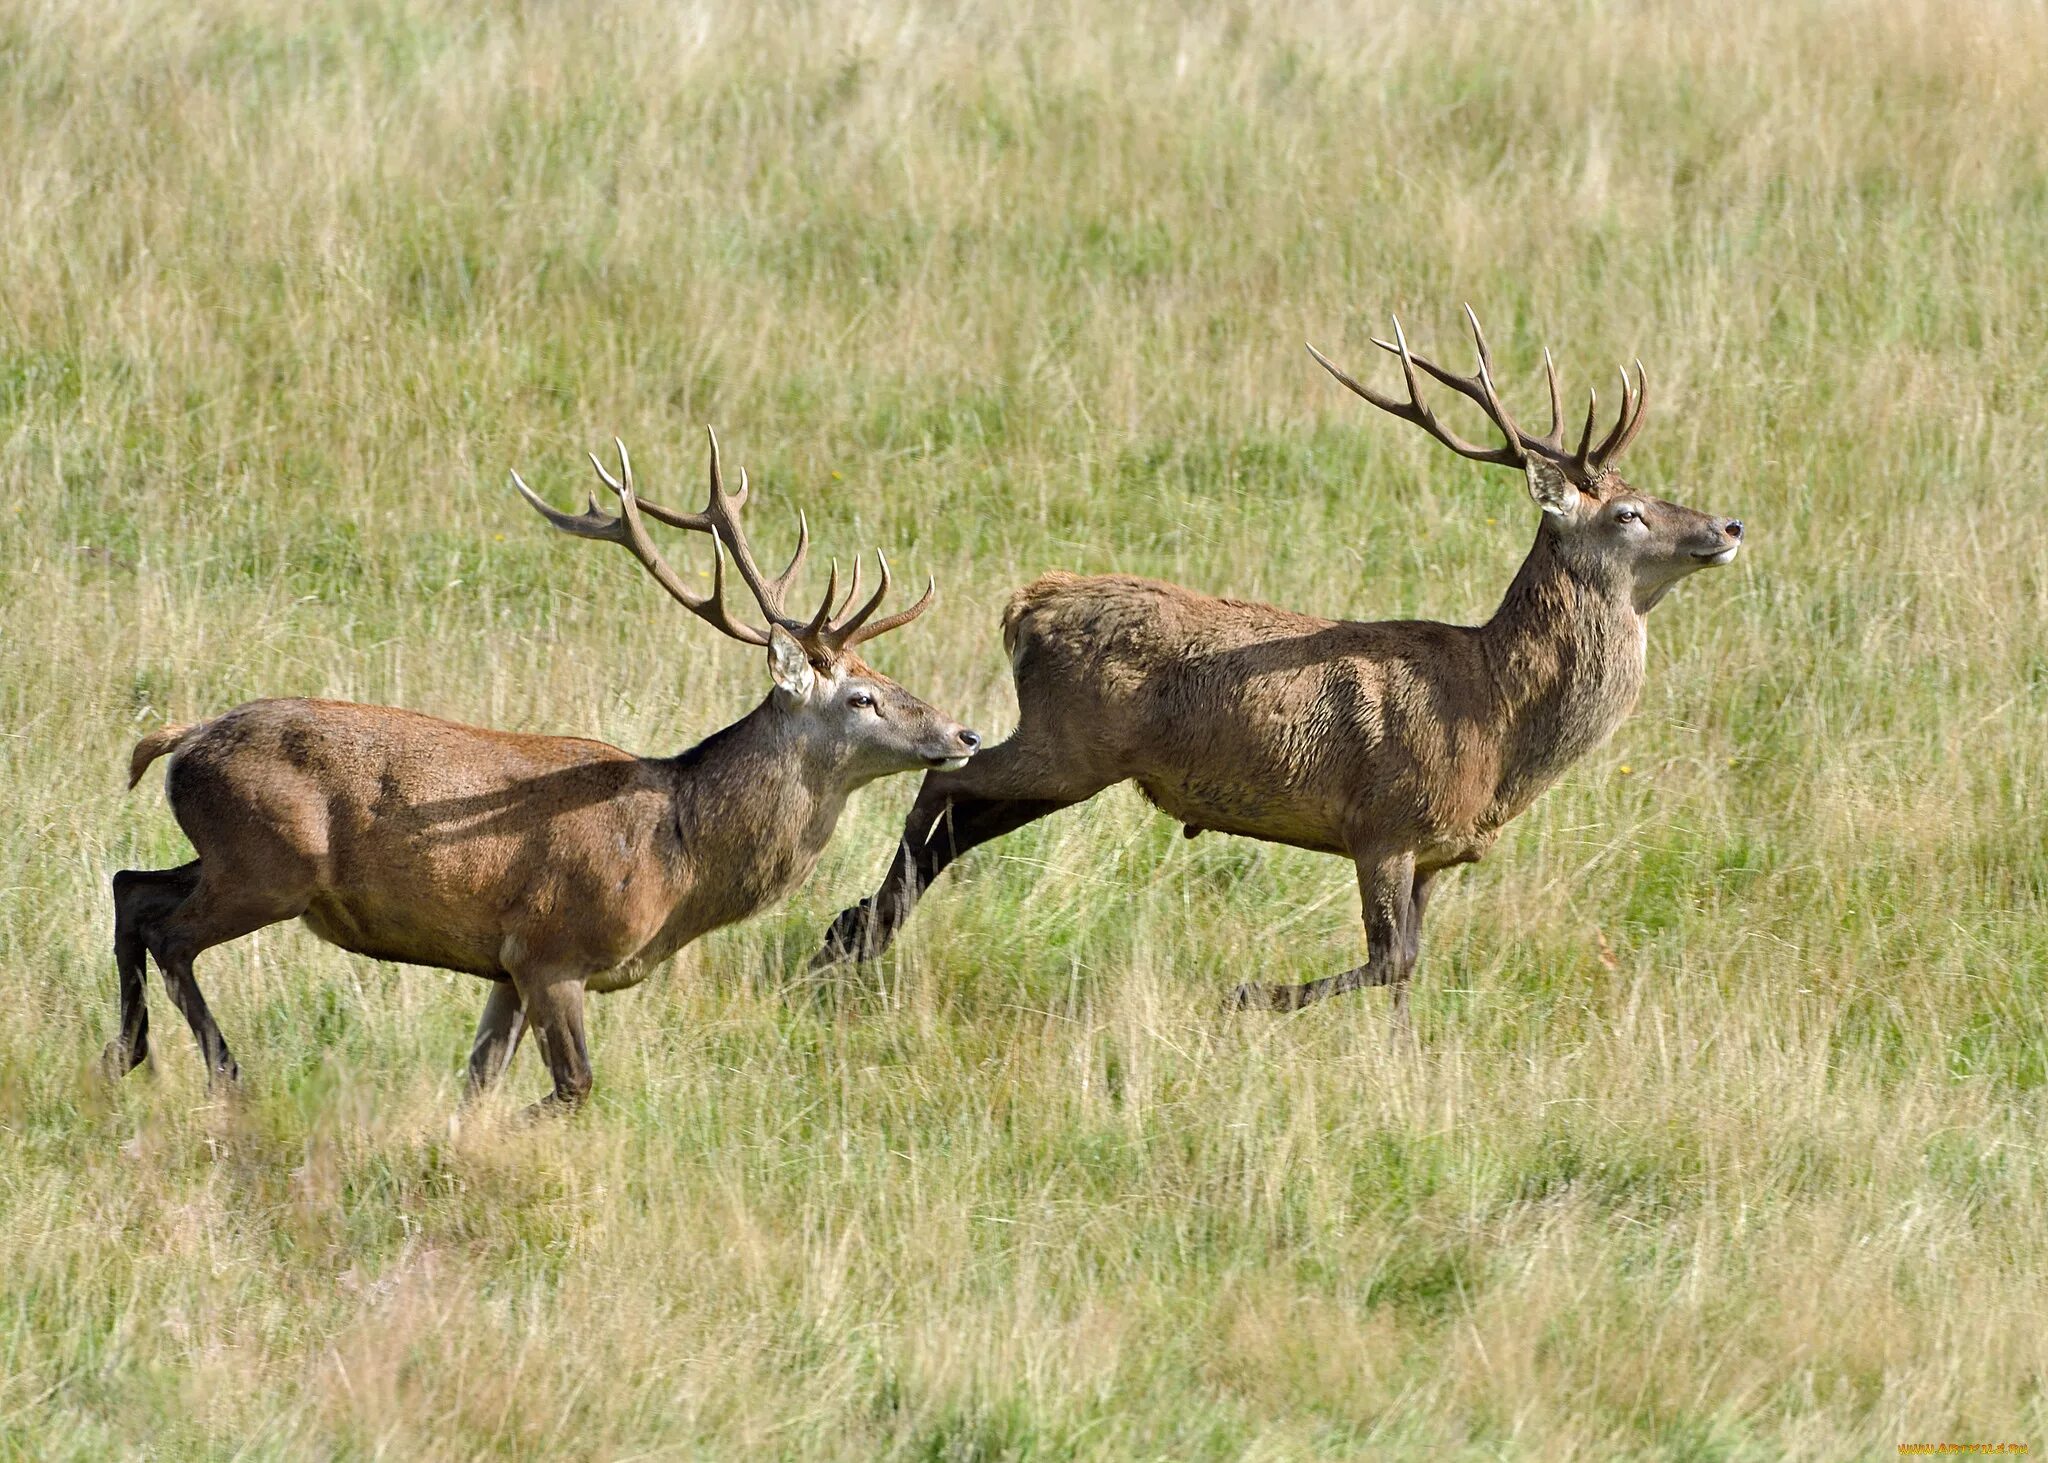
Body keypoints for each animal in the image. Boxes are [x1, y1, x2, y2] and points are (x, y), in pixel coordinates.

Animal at [103, 428, 983, 1114]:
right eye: (863, 697)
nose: (965, 731)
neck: (678, 856)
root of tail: (186, 738)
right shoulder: (554, 949)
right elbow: (575, 1085)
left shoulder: (504, 961)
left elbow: (478, 1080)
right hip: (271, 863)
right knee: (169, 932)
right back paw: (221, 1072)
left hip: (232, 854)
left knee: (130, 886)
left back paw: (125, 1052)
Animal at [815, 307, 1744, 1016]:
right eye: (1627, 513)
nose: (1729, 525)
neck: (1492, 721)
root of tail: (1027, 605)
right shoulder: (1385, 822)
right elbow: (1388, 958)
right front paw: (1247, 995)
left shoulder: (1435, 853)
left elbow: (1409, 968)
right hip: (1068, 741)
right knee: (948, 783)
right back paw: (859, 931)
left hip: (1075, 756)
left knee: (959, 817)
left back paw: (853, 928)